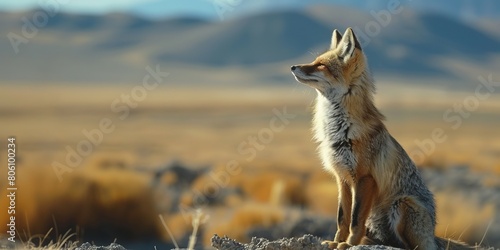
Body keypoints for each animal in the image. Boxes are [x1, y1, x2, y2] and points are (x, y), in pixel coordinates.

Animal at [290, 27, 468, 250]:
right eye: (315, 61)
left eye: (320, 65)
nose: (292, 66)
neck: (339, 130)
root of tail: (433, 233)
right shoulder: (342, 178)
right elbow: (342, 217)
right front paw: (336, 241)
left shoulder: (365, 178)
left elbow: (355, 219)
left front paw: (349, 244)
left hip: (402, 204)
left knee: (410, 246)